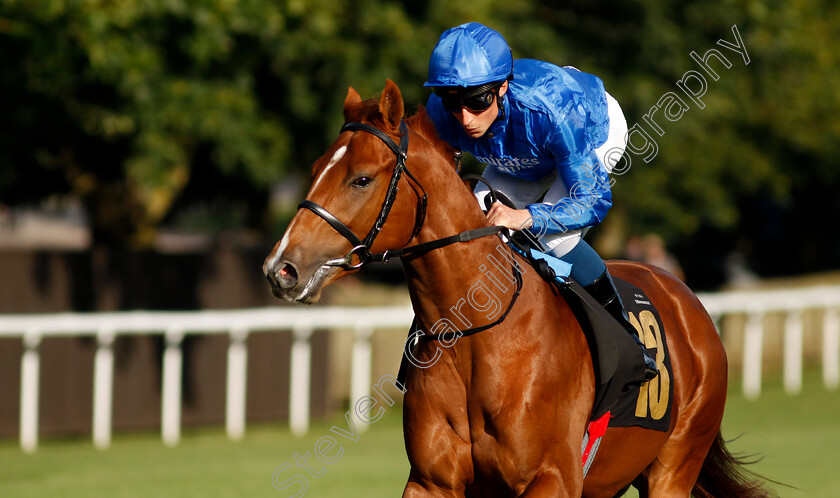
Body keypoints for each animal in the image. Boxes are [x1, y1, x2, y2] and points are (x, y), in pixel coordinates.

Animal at [264, 80, 776, 496]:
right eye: (315, 168)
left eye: (362, 178)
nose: (280, 269)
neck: (473, 335)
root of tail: (687, 299)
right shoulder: (432, 481)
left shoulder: (551, 478)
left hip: (673, 468)